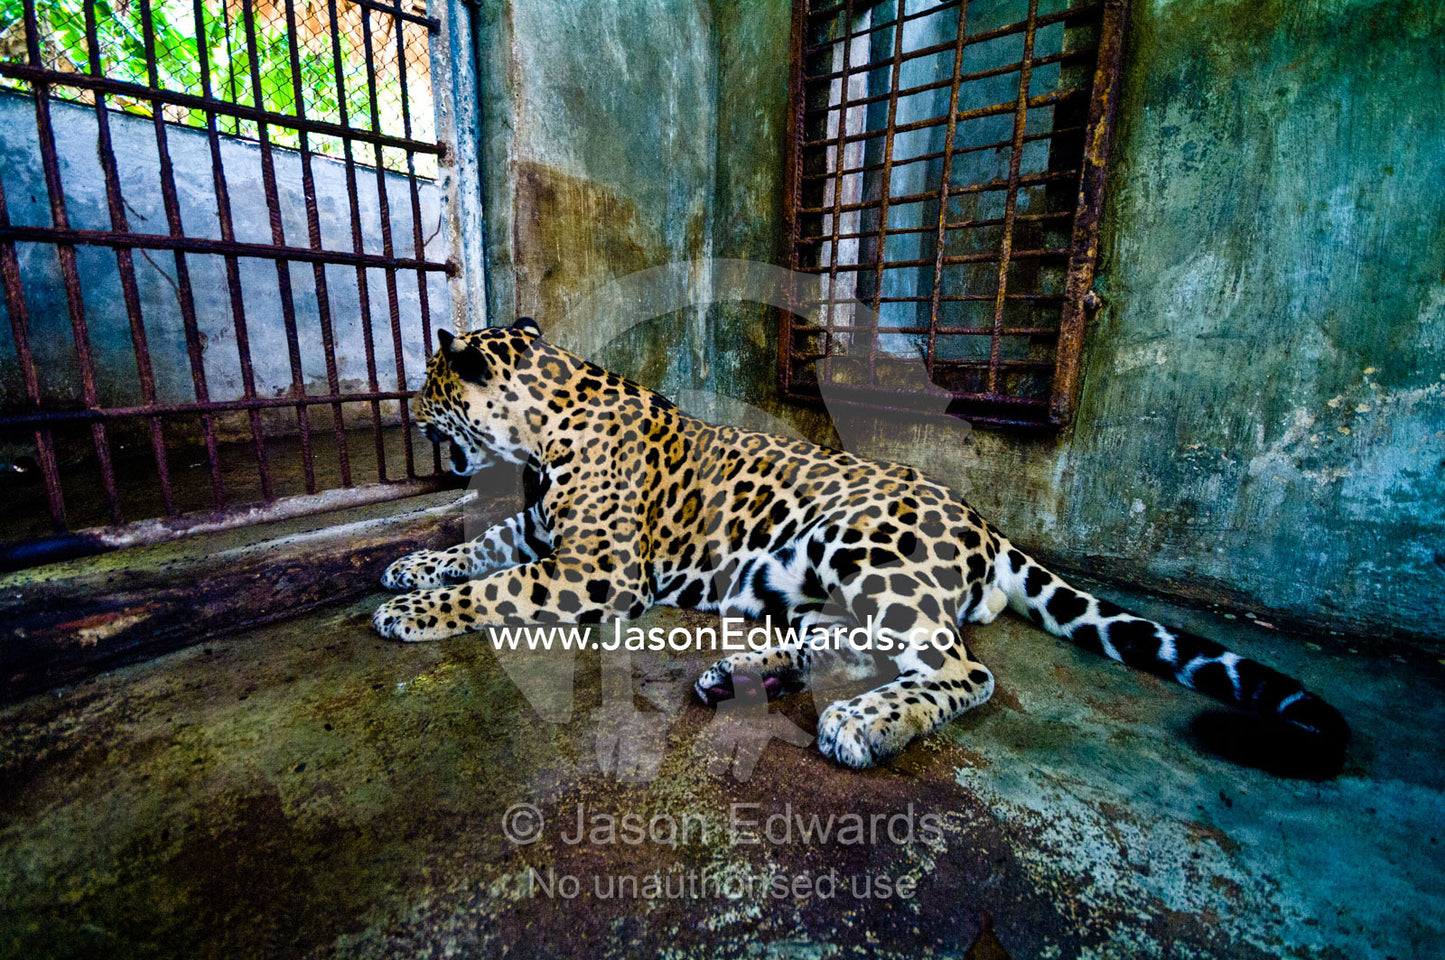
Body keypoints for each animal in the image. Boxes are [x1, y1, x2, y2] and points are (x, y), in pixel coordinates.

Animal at [372, 318, 1348, 776]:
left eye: (429, 384)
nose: (408, 412)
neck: (539, 433)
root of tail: (983, 521)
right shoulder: (542, 533)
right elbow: (484, 547)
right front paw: (414, 566)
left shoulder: (594, 571)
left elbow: (496, 590)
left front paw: (409, 611)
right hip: (815, 575)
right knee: (844, 642)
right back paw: (744, 673)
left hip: (859, 541)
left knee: (962, 670)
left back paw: (862, 724)